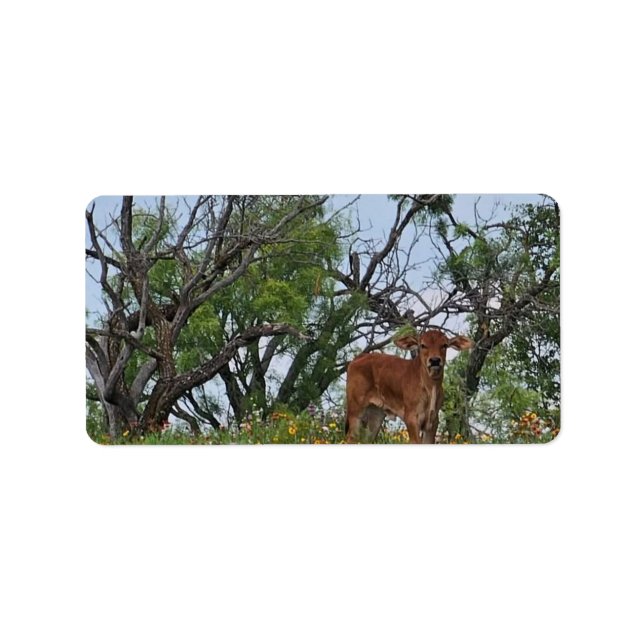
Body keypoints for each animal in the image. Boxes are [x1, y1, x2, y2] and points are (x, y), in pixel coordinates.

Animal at [344, 329, 473, 444]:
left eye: (444, 345)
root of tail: (358, 357)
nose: (435, 360)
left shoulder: (432, 422)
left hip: (375, 414)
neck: (430, 387)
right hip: (355, 411)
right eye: (422, 345)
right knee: (350, 439)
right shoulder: (411, 418)